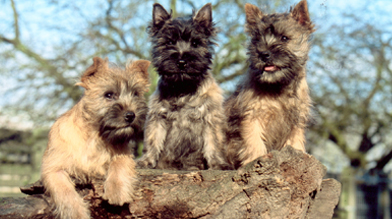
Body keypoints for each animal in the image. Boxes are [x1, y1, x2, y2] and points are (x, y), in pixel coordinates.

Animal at [40, 57, 150, 218]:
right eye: (108, 95)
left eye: (135, 94)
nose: (131, 115)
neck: (95, 137)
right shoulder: (53, 169)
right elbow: (65, 192)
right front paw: (77, 213)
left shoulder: (124, 153)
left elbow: (118, 162)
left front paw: (116, 191)